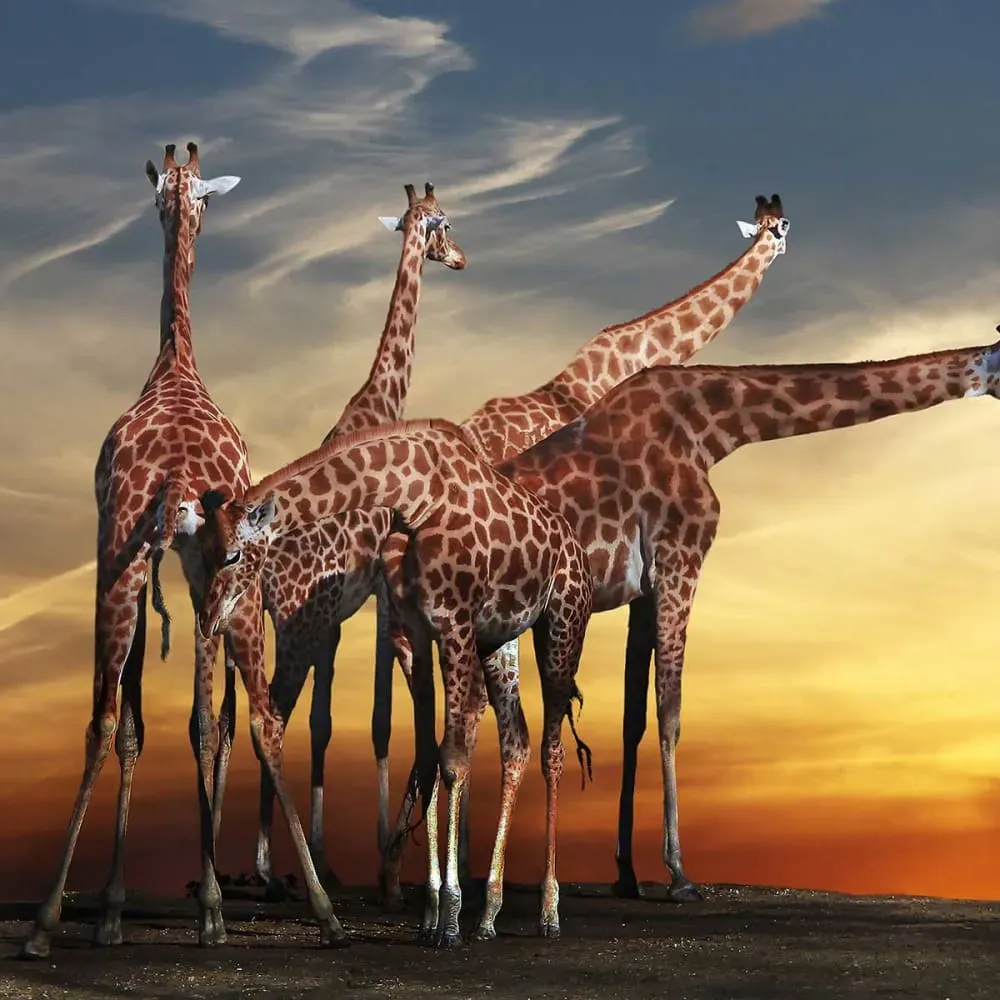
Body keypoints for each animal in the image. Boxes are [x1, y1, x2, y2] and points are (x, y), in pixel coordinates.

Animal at [20, 143, 342, 959]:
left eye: (191, 193)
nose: (180, 205)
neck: (173, 362)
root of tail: (171, 480)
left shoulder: (139, 565)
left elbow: (145, 723)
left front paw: (111, 910)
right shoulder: (200, 571)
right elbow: (202, 721)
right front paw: (176, 906)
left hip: (120, 570)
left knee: (110, 717)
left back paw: (49, 919)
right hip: (208, 583)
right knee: (249, 719)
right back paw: (305, 911)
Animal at [194, 418, 595, 946]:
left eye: (234, 555)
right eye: (202, 555)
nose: (208, 620)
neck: (413, 498)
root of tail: (578, 550)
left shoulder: (453, 622)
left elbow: (452, 759)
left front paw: (448, 921)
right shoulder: (417, 629)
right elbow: (427, 754)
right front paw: (432, 912)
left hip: (562, 625)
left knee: (552, 750)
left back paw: (548, 912)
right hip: (499, 639)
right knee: (517, 743)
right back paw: (489, 914)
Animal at [252, 182, 466, 903]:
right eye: (446, 223)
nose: (461, 258)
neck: (380, 399)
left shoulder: (344, 609)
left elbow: (330, 721)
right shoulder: (374, 590)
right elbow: (377, 715)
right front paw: (382, 866)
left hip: (285, 622)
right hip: (298, 623)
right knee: (270, 716)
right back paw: (281, 875)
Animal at [372, 193, 792, 893]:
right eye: (780, 228)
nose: (780, 243)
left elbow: (625, 711)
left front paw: (626, 869)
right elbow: (633, 709)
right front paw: (651, 870)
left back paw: (407, 877)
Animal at [477, 333, 1000, 905]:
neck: (713, 427)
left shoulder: (644, 589)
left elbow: (633, 720)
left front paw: (627, 873)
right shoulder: (681, 559)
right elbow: (671, 713)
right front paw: (678, 874)